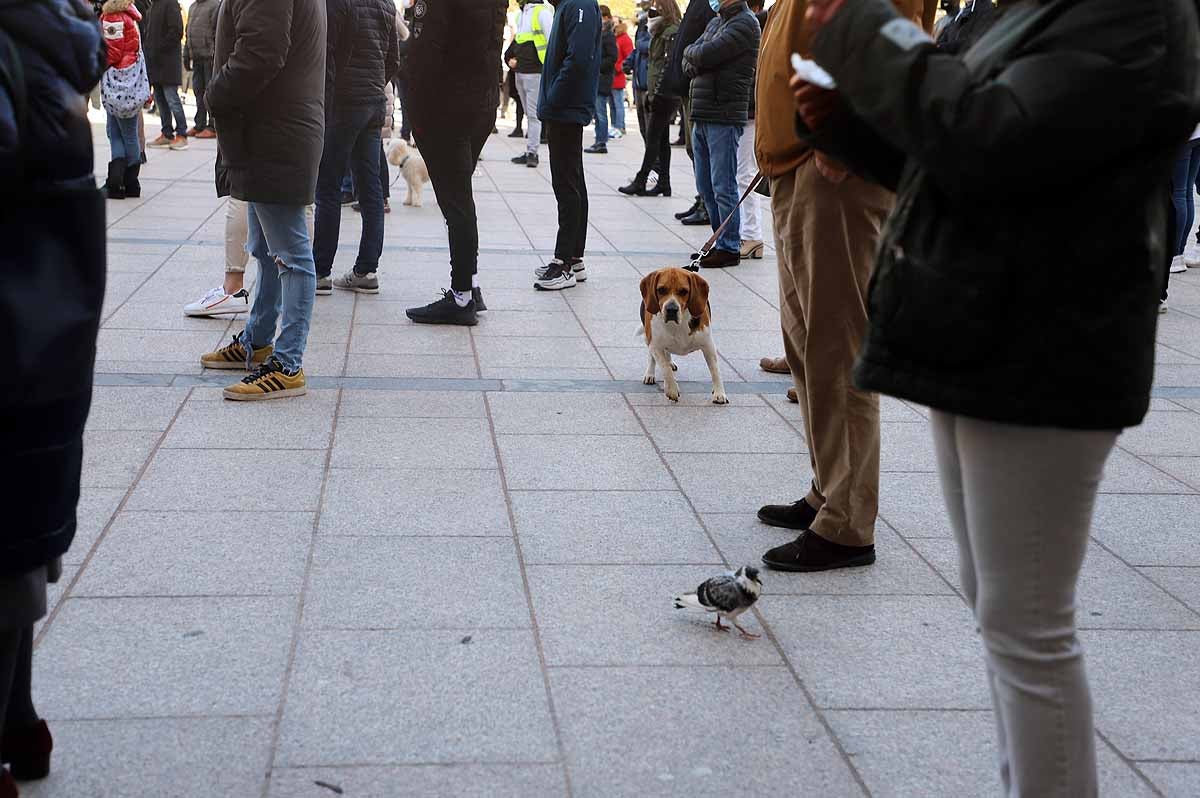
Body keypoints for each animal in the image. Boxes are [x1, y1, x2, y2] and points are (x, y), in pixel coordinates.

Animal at [643, 267, 724, 405]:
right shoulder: (655, 346)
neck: (677, 325)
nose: (671, 309)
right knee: (653, 358)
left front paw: (719, 393)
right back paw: (650, 373)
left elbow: (715, 371)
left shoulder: (709, 346)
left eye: (684, 291)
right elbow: (665, 368)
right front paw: (671, 389)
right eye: (661, 290)